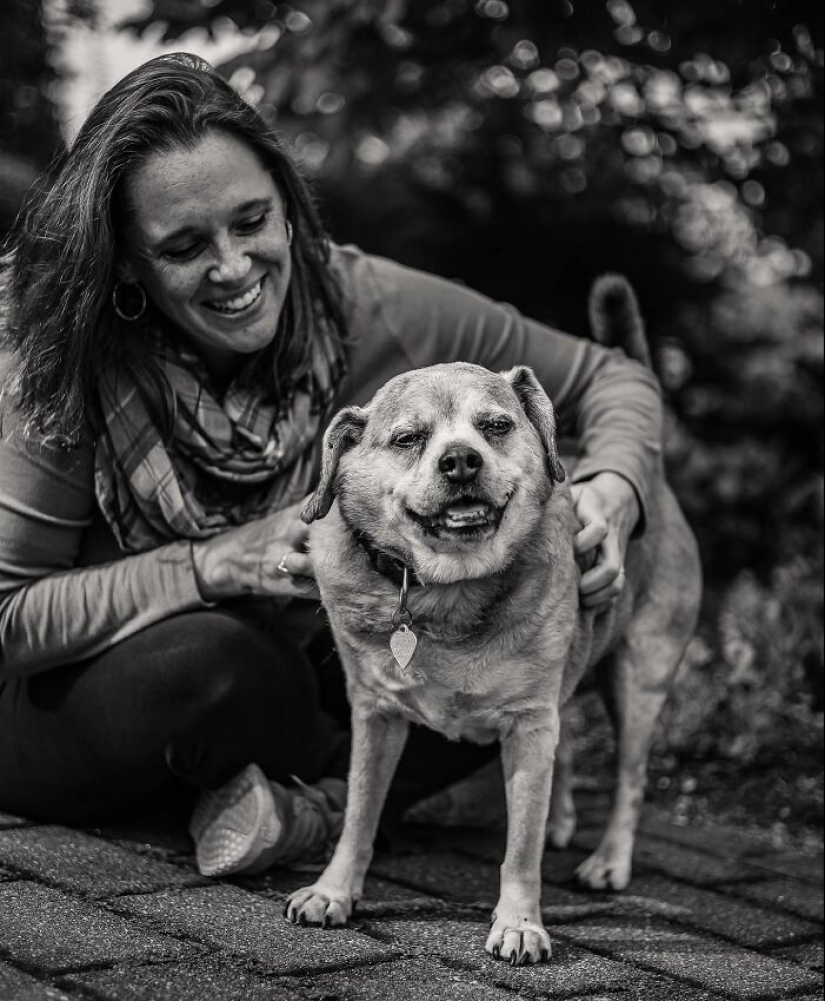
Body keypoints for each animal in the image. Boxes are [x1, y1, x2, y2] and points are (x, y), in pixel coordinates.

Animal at [284, 278, 700, 964]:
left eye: (496, 426)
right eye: (408, 439)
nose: (460, 461)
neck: (448, 591)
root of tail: (656, 477)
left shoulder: (529, 726)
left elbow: (520, 848)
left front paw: (520, 922)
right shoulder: (375, 714)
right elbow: (360, 814)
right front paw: (334, 890)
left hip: (640, 678)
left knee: (630, 778)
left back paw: (609, 860)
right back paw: (563, 820)